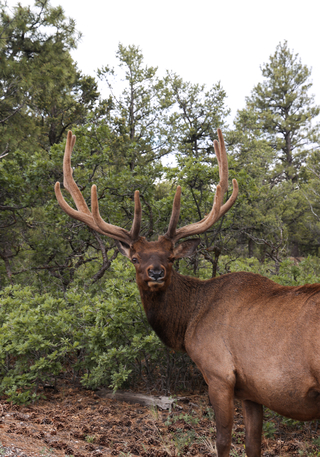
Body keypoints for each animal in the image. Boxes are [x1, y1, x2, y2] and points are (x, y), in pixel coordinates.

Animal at [55, 129, 320, 456]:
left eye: (171, 257)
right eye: (135, 258)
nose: (156, 272)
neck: (189, 321)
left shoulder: (219, 373)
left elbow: (223, 440)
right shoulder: (252, 391)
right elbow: (253, 444)